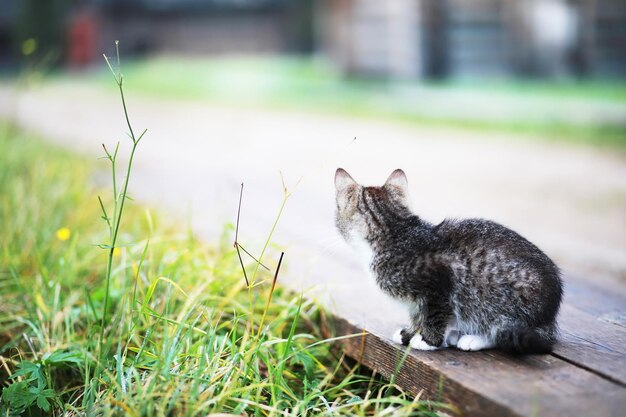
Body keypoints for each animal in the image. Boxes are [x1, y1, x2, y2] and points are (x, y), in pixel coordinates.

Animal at [334, 167, 564, 352]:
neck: (397, 234)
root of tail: (549, 317)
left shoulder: (439, 282)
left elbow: (434, 313)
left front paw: (428, 340)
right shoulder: (417, 301)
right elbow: (417, 314)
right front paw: (410, 333)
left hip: (501, 298)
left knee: (502, 330)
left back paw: (474, 339)